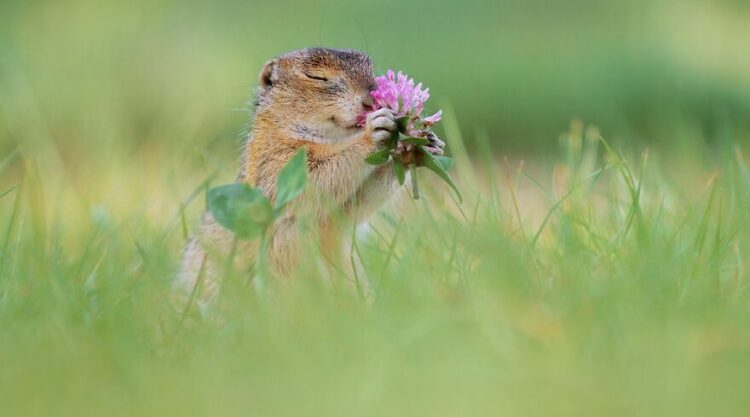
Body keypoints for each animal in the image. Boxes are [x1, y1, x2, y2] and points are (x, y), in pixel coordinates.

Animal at [175, 47, 446, 300]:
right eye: (316, 76)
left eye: (370, 69)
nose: (371, 100)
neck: (332, 138)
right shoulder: (276, 161)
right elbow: (319, 178)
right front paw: (374, 131)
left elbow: (357, 204)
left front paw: (419, 145)